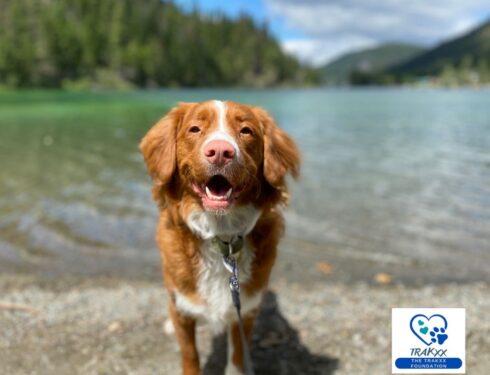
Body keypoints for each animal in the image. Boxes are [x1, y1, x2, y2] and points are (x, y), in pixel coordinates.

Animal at [140, 100, 300, 375]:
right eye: (195, 129)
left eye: (246, 131)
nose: (220, 152)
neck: (221, 235)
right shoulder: (183, 309)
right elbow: (190, 355)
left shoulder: (244, 311)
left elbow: (237, 356)